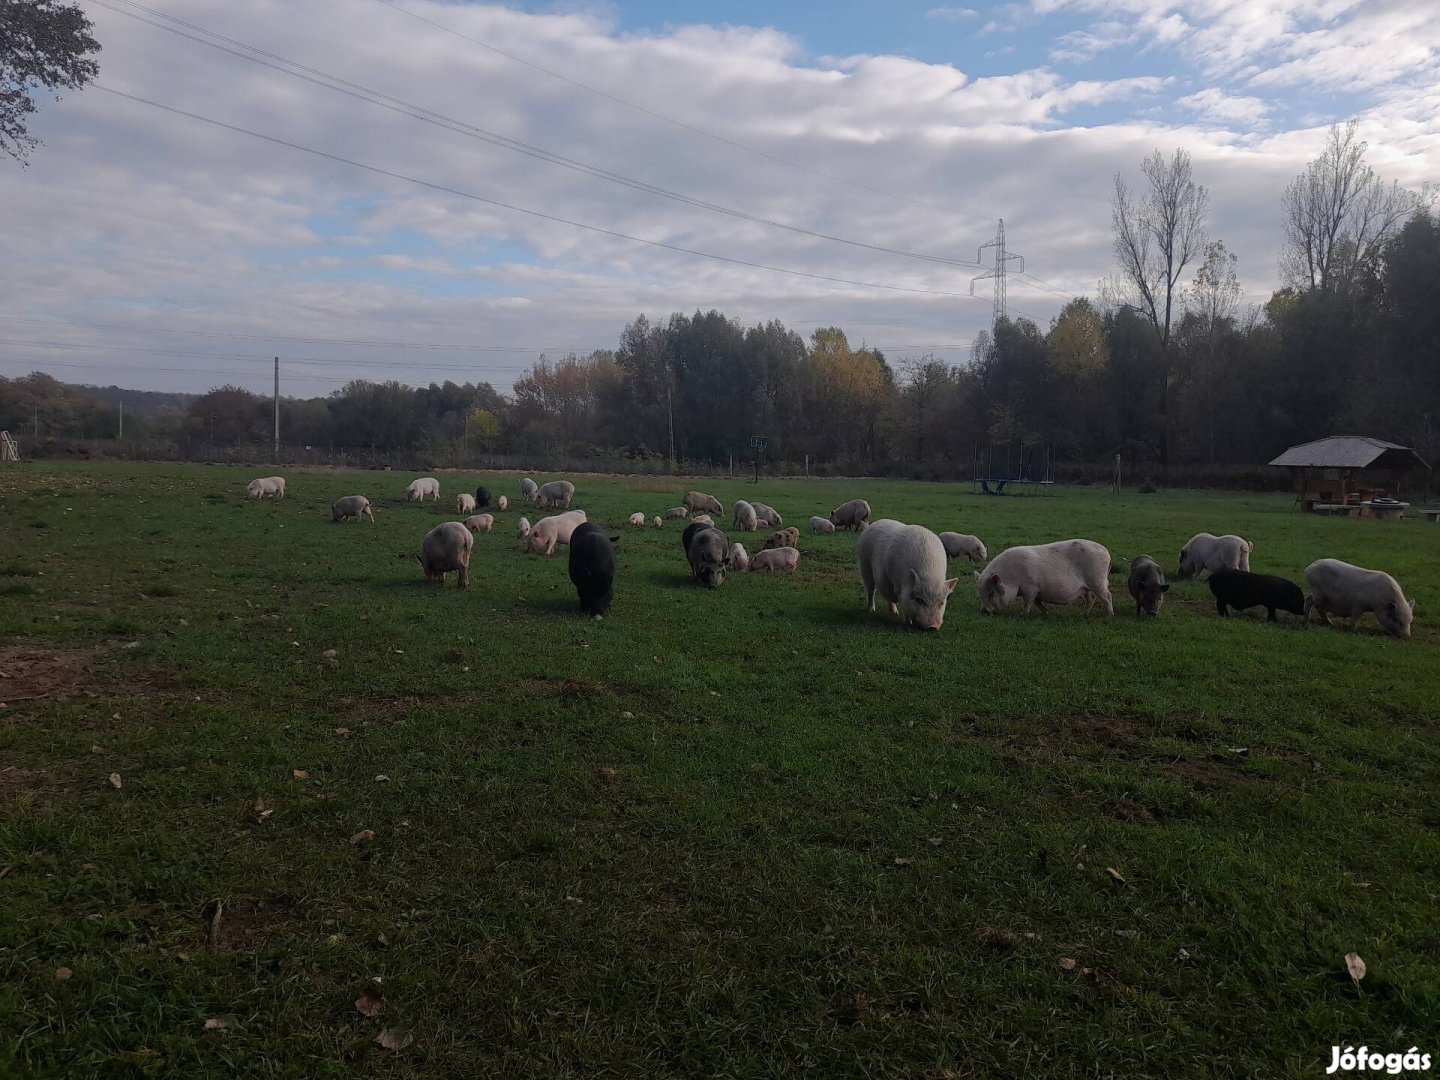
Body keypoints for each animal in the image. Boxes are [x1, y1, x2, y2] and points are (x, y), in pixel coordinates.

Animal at [979, 541, 1111, 616]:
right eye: (980, 594)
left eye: (991, 593)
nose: (984, 611)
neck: (1012, 577)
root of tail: (1106, 552)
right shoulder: (1037, 590)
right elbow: (1037, 601)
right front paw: (1046, 612)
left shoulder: (1031, 586)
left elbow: (1028, 601)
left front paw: (1022, 615)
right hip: (1085, 587)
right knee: (1091, 598)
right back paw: (1082, 614)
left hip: (1097, 581)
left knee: (1108, 596)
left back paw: (1109, 615)